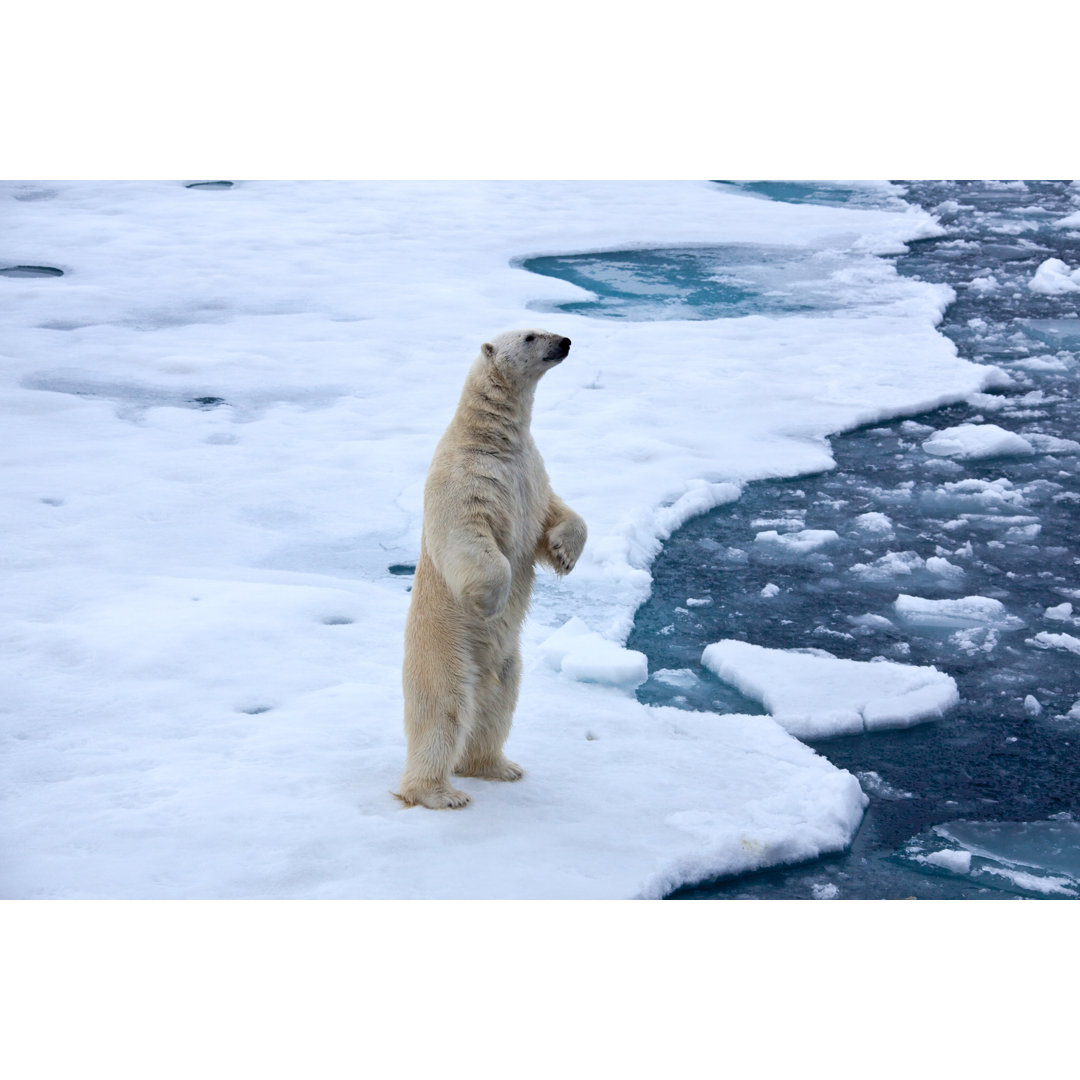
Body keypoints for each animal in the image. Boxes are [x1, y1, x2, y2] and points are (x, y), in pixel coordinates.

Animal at [397, 328, 587, 812]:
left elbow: (555, 513)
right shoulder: (465, 477)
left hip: (507, 660)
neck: (494, 439)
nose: (565, 340)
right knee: (444, 709)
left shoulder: (530, 473)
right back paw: (440, 793)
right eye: (530, 335)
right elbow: (467, 533)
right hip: (445, 646)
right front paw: (491, 600)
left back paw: (497, 766)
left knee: (498, 703)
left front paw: (565, 553)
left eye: (543, 327)